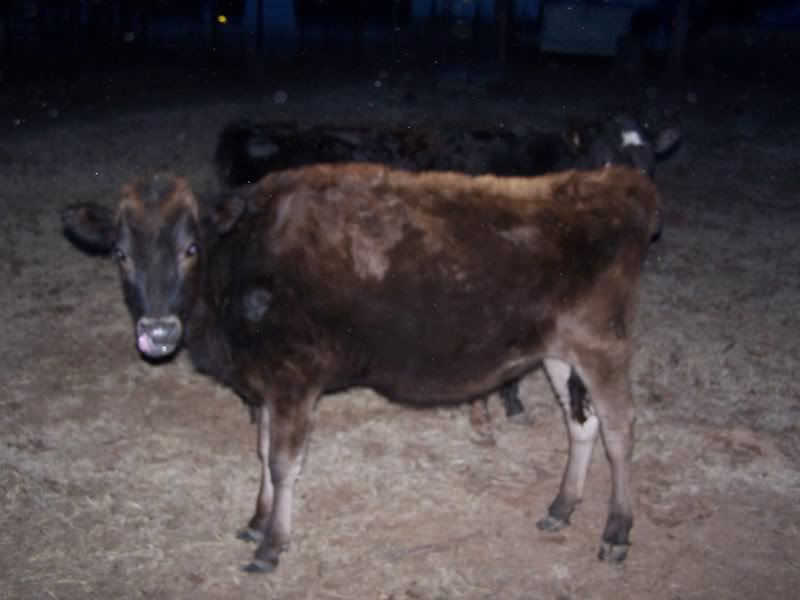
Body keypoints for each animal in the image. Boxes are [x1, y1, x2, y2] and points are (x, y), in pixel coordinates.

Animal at [61, 163, 660, 573]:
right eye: (120, 253)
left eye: (190, 248)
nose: (158, 330)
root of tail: (616, 181)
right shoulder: (264, 385)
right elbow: (259, 454)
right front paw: (255, 522)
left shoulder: (292, 379)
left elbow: (281, 463)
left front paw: (272, 545)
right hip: (558, 351)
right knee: (581, 425)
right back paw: (561, 507)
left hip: (602, 342)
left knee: (620, 431)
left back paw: (617, 531)